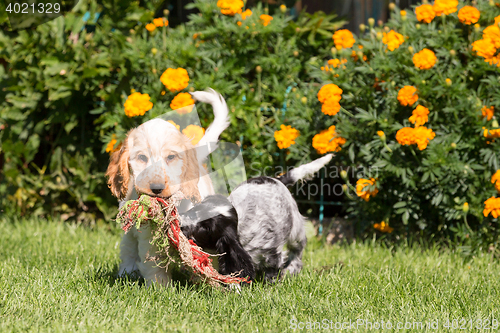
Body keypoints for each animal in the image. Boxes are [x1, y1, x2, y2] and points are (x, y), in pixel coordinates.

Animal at [107, 89, 230, 286]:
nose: (156, 188)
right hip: (129, 235)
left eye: (171, 157)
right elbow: (154, 264)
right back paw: (127, 272)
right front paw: (161, 288)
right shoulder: (148, 237)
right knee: (128, 249)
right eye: (142, 157)